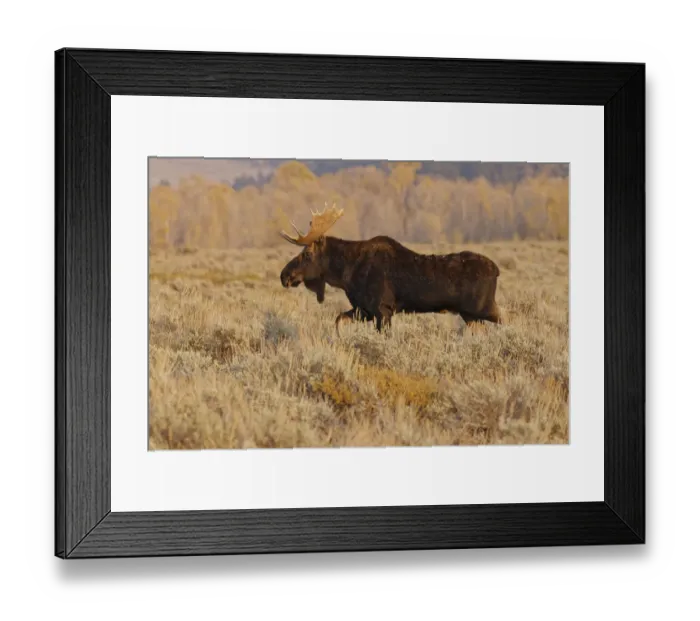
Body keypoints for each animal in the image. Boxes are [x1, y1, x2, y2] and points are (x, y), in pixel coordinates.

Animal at [279, 204, 503, 334]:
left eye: (307, 254)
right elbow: (338, 320)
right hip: (471, 315)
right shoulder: (364, 309)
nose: (284, 275)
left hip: (483, 308)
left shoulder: (382, 309)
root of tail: (497, 270)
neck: (345, 276)